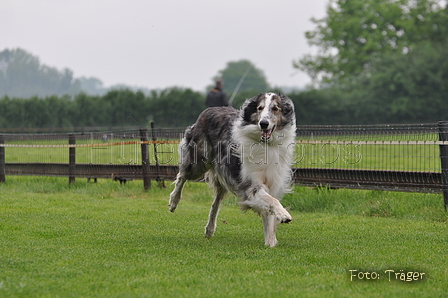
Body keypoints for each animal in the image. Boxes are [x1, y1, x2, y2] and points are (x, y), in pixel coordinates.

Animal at [168, 92, 294, 247]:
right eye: (260, 108)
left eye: (275, 108)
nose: (263, 124)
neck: (265, 145)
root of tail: (209, 109)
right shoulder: (251, 184)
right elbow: (272, 201)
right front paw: (284, 215)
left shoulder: (273, 183)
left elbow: (269, 215)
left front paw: (270, 243)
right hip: (198, 163)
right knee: (182, 175)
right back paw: (174, 201)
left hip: (223, 175)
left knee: (215, 203)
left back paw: (209, 229)